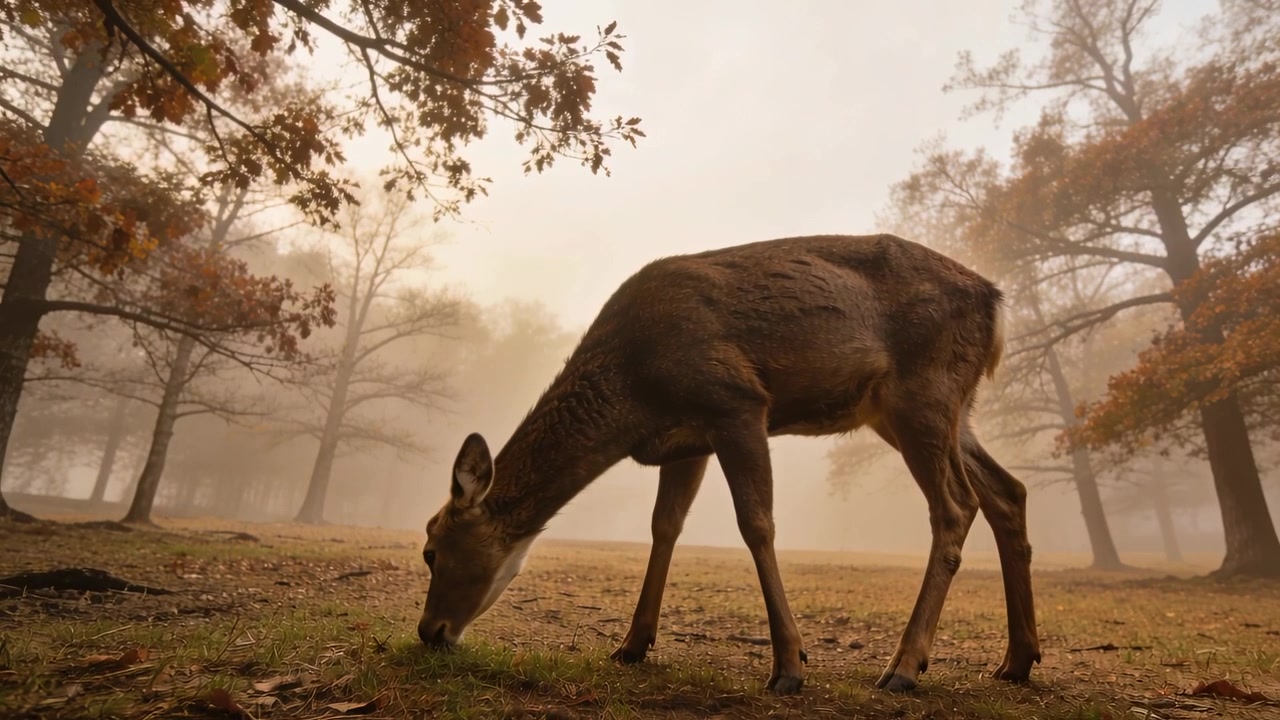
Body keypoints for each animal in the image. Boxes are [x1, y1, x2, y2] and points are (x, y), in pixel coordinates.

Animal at [415, 233, 1042, 695]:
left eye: (431, 549)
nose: (429, 631)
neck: (633, 393)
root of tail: (996, 304)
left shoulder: (735, 400)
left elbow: (756, 525)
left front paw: (789, 666)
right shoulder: (686, 441)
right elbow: (664, 526)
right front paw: (632, 644)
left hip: (923, 394)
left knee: (956, 506)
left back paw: (905, 667)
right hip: (933, 410)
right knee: (1008, 490)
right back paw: (1017, 659)